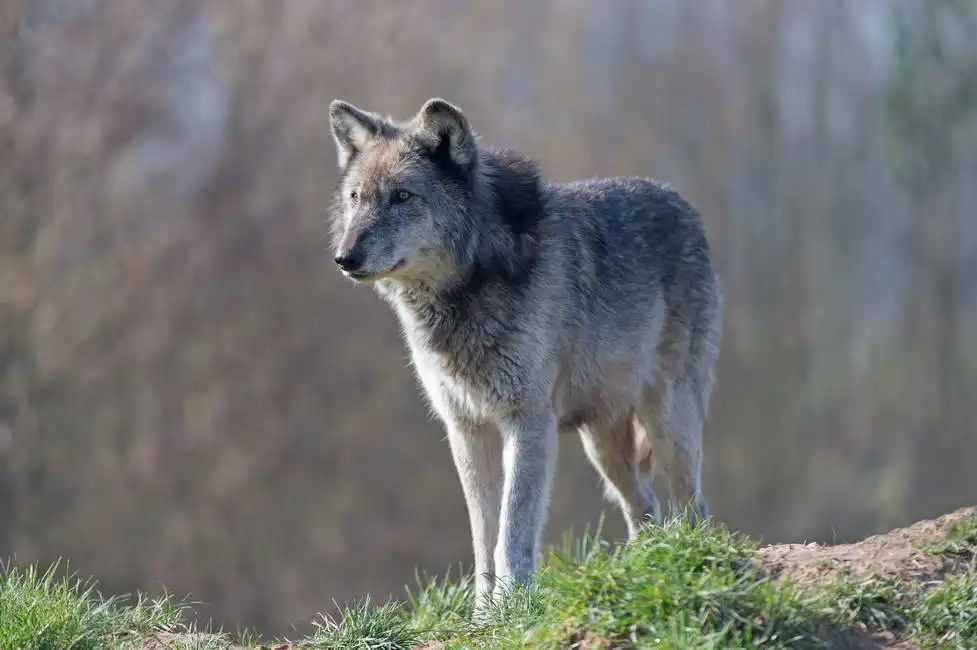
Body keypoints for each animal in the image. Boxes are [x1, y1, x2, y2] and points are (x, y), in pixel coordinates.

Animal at [327, 97, 723, 615]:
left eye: (402, 196)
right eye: (356, 197)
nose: (344, 257)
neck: (470, 285)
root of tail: (685, 205)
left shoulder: (528, 421)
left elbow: (511, 530)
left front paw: (513, 605)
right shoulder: (467, 429)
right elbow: (483, 537)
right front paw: (483, 614)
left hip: (667, 420)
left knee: (692, 507)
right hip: (603, 447)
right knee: (646, 509)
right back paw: (642, 574)